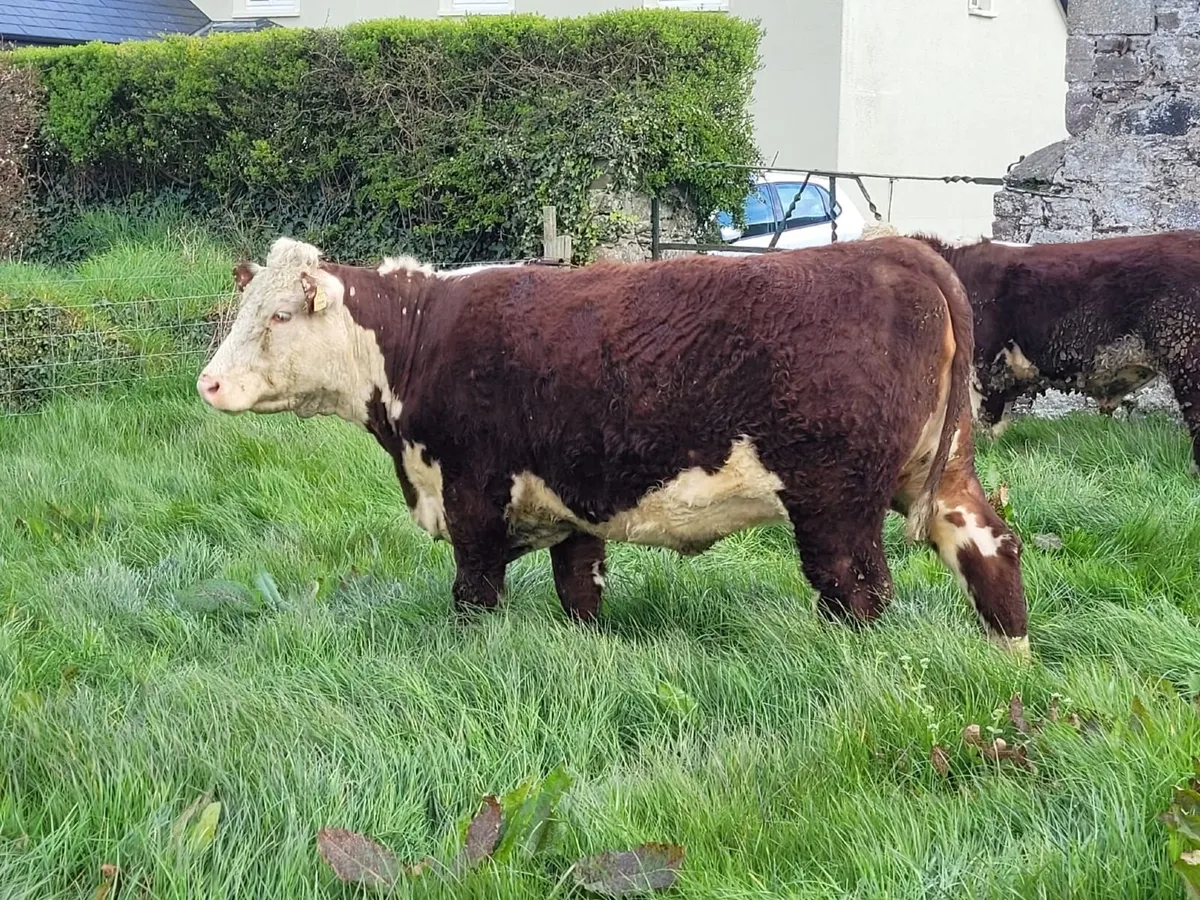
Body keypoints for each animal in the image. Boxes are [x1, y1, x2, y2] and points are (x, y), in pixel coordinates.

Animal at [196, 235, 1030, 656]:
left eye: (278, 316)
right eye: (247, 306)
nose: (208, 383)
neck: (418, 337)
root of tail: (898, 251)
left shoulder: (473, 493)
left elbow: (474, 594)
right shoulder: (572, 505)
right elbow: (581, 593)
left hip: (835, 499)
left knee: (857, 590)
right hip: (938, 469)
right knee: (990, 545)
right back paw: (1009, 659)